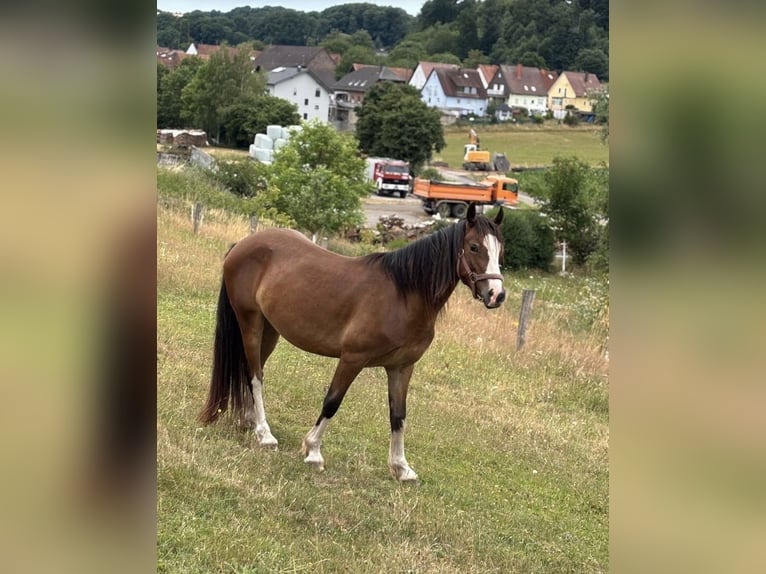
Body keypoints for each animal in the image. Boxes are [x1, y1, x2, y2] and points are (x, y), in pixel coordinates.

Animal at [199, 203, 506, 481]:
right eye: (474, 247)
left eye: (500, 249)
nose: (496, 295)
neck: (404, 295)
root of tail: (242, 245)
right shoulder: (352, 359)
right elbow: (332, 402)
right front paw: (313, 451)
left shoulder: (401, 367)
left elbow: (398, 415)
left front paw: (401, 467)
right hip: (250, 322)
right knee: (255, 375)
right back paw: (265, 434)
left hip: (270, 330)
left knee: (250, 371)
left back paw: (250, 421)